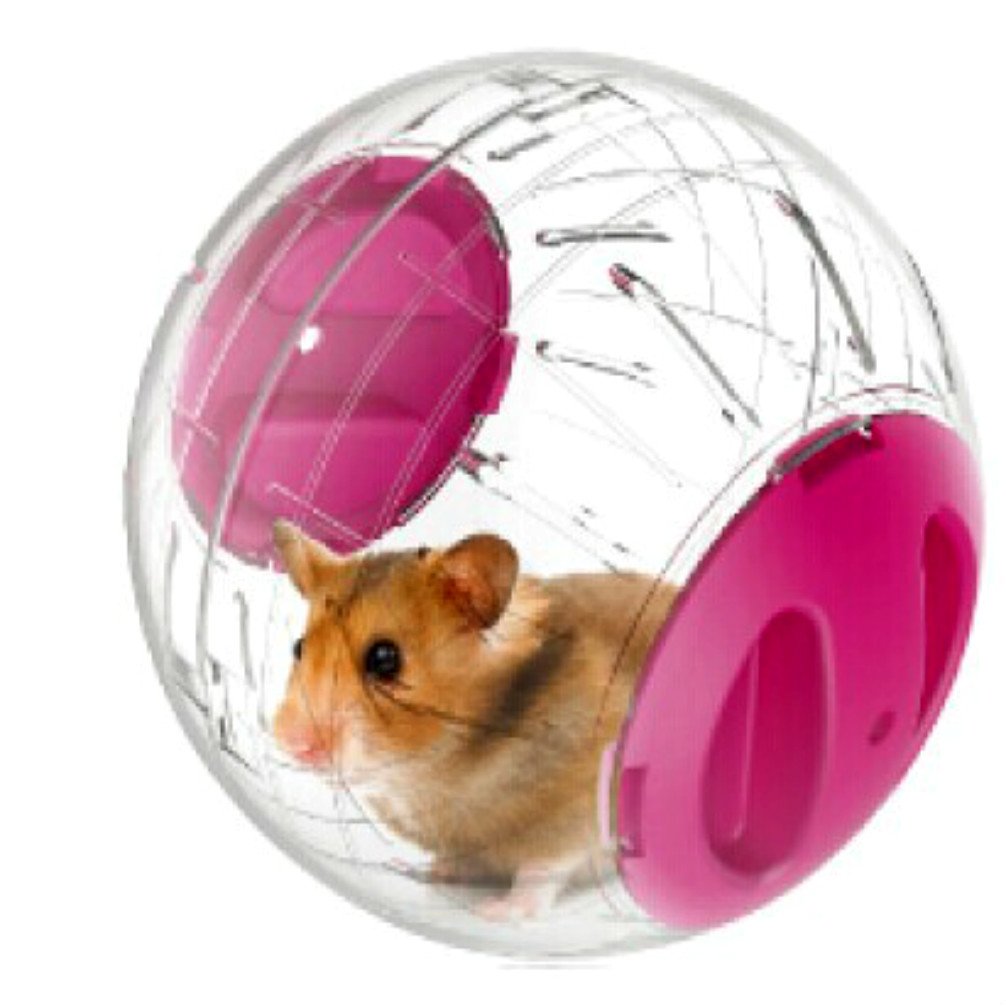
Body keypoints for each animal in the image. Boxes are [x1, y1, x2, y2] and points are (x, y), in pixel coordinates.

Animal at [271, 520, 677, 919]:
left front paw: (496, 911)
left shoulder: (577, 817)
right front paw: (432, 872)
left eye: (385, 659)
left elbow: (542, 870)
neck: (433, 770)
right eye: (298, 647)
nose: (292, 744)